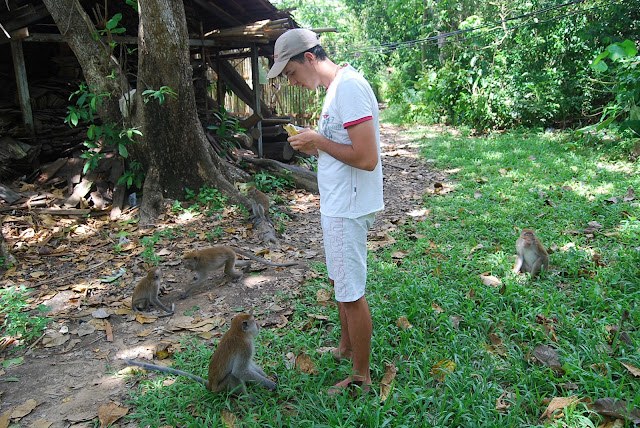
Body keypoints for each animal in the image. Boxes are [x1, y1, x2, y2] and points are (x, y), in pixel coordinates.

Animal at [124, 312, 276, 400]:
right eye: (254, 321)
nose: (259, 325)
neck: (237, 332)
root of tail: (211, 386)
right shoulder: (245, 346)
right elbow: (239, 371)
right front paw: (270, 384)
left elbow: (246, 367)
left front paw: (266, 376)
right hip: (222, 388)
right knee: (232, 375)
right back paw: (246, 398)